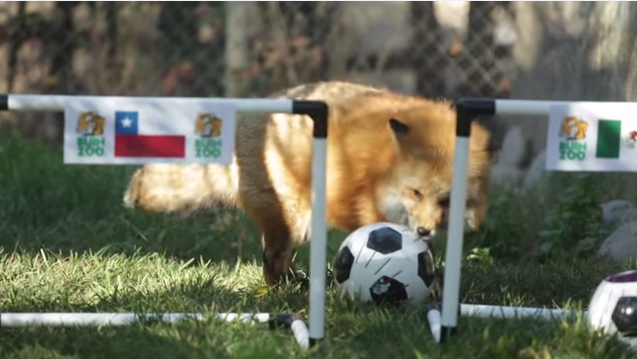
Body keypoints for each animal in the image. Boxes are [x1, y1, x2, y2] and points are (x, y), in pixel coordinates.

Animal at [121, 81, 494, 286]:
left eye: (447, 200)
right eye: (416, 192)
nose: (426, 230)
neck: (380, 167)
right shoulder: (376, 217)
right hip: (293, 221)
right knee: (271, 262)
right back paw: (287, 293)